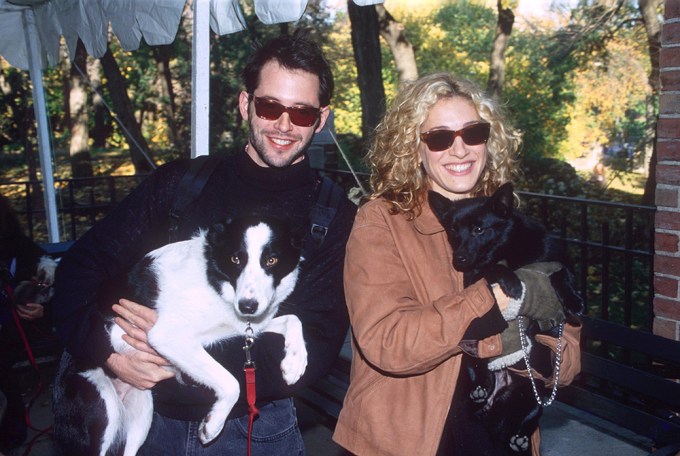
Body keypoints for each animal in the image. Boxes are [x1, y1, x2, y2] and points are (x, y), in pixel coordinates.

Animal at [52, 216, 306, 456]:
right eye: (235, 260)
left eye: (271, 260)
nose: (247, 306)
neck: (214, 279)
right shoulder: (168, 336)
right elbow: (231, 382)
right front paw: (213, 424)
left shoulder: (248, 327)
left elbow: (294, 319)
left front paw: (295, 362)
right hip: (103, 409)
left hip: (141, 411)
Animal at [430, 183, 584, 454]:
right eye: (453, 231)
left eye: (479, 229)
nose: (458, 259)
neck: (508, 248)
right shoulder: (475, 277)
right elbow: (493, 268)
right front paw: (512, 280)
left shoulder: (553, 262)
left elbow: (561, 272)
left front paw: (573, 300)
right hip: (470, 364)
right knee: (476, 378)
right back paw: (479, 390)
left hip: (532, 396)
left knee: (526, 418)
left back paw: (518, 438)